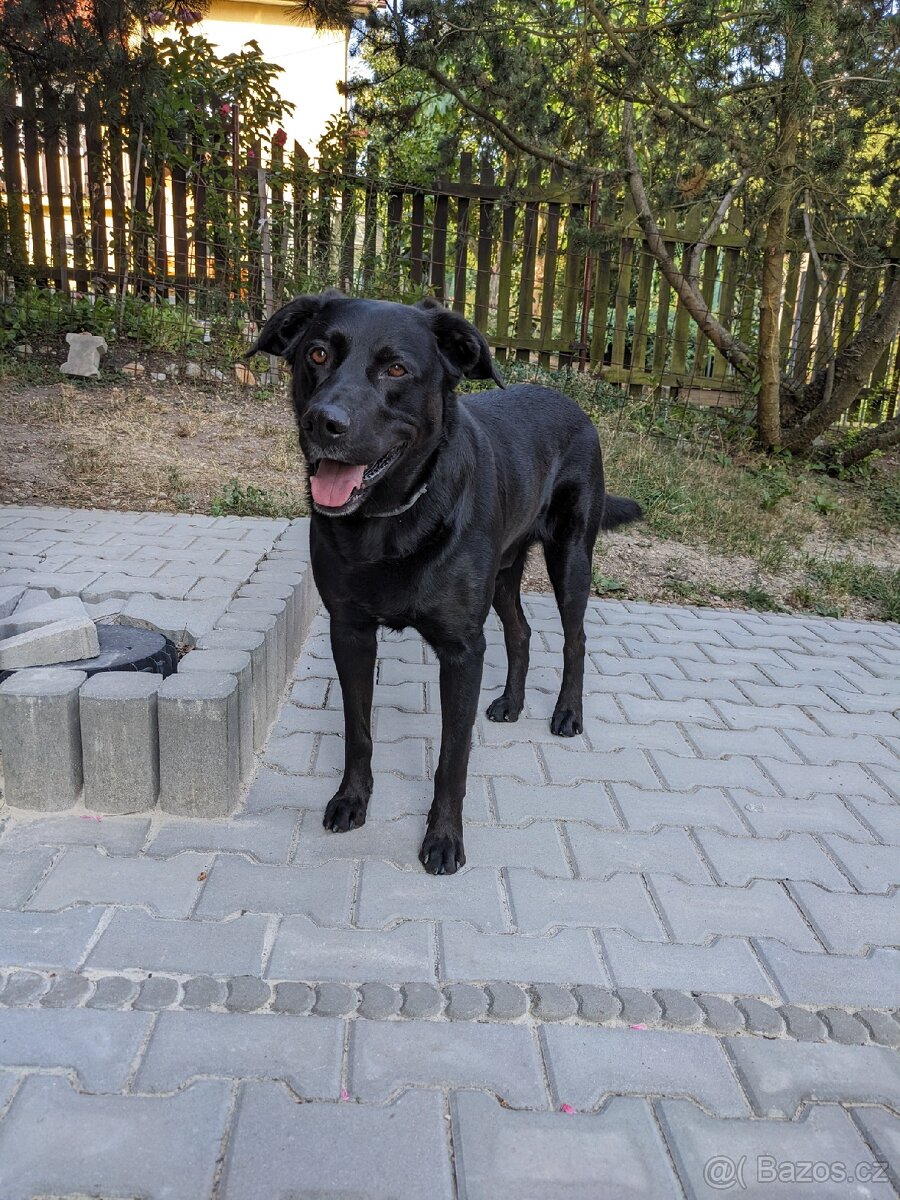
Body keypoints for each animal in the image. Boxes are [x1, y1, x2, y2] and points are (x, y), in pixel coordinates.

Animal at [249, 293, 642, 874]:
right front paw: (351, 799)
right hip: (502, 573)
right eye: (317, 354)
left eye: (396, 369)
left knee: (575, 637)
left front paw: (443, 837)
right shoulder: (349, 631)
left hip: (571, 559)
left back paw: (568, 712)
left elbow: (452, 757)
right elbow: (357, 731)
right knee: (520, 631)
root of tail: (569, 401)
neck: (389, 521)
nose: (323, 422)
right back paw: (511, 702)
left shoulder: (462, 649)